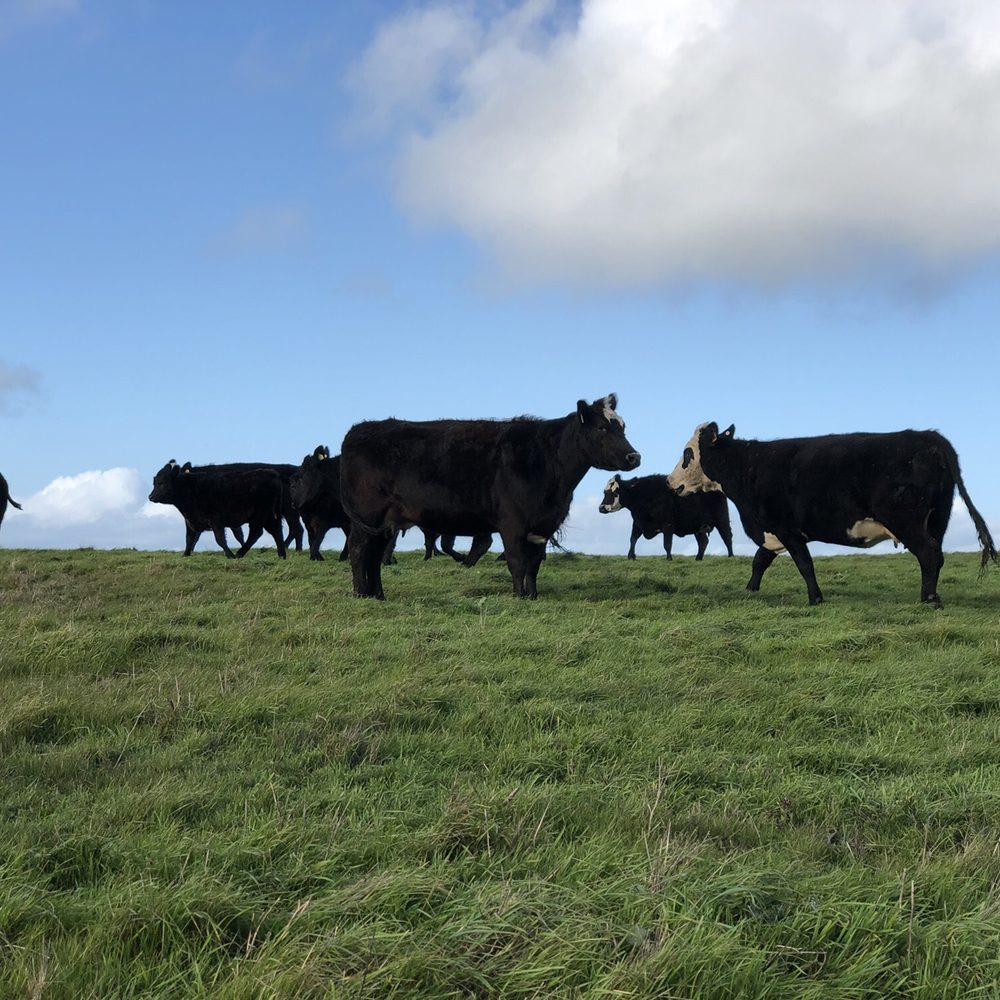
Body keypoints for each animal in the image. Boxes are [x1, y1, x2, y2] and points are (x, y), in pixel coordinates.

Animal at [149, 460, 287, 558]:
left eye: (163, 483)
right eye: (155, 482)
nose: (151, 497)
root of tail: (272, 474)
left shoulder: (215, 520)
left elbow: (220, 540)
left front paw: (229, 555)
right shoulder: (190, 520)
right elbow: (189, 539)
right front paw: (185, 554)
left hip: (259, 515)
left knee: (256, 533)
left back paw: (239, 553)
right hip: (270, 516)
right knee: (277, 533)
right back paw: (281, 556)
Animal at [340, 394, 641, 599]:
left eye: (623, 427)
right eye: (602, 428)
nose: (634, 457)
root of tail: (358, 430)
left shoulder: (541, 526)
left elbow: (533, 565)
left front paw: (533, 596)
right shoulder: (512, 523)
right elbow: (517, 563)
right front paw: (520, 597)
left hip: (384, 522)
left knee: (374, 555)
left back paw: (377, 595)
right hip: (367, 516)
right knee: (358, 549)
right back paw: (360, 593)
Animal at [599, 474, 734, 559]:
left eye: (615, 492)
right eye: (605, 492)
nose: (601, 508)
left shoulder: (667, 524)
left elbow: (667, 543)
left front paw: (669, 558)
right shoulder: (637, 523)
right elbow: (633, 539)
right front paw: (631, 556)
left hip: (722, 520)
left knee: (727, 537)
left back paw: (731, 556)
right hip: (699, 527)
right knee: (703, 542)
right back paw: (698, 558)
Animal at [668, 422, 997, 607]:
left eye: (687, 454)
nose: (671, 482)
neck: (748, 465)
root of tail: (930, 437)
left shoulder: (786, 528)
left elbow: (804, 564)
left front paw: (815, 598)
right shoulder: (772, 531)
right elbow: (760, 561)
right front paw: (751, 590)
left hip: (906, 519)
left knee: (929, 554)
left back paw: (928, 600)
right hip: (938, 518)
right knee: (936, 555)